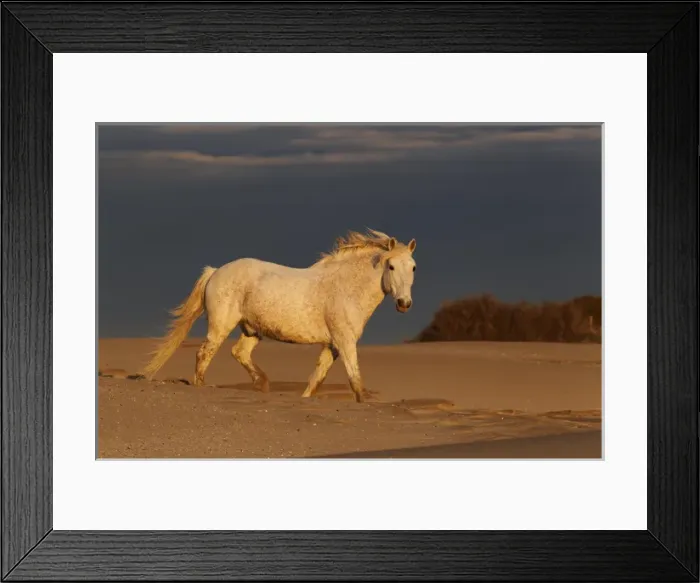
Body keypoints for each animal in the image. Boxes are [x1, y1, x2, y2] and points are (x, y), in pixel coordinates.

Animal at [142, 229, 417, 403]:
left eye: (414, 267)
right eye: (391, 266)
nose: (404, 304)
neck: (345, 287)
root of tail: (216, 271)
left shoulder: (332, 346)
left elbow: (316, 379)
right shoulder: (345, 342)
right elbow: (356, 382)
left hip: (252, 330)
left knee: (239, 352)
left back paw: (262, 384)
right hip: (221, 326)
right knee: (204, 354)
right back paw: (203, 386)